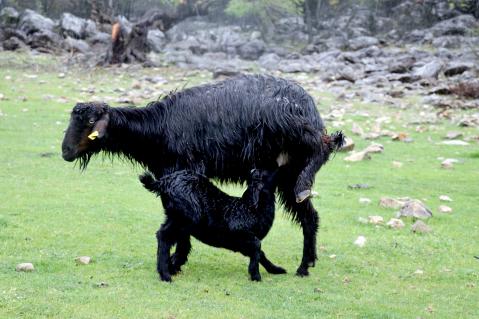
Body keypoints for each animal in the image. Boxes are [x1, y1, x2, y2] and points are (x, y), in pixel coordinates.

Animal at [141, 169, 286, 282]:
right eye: (265, 172)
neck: (251, 210)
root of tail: (162, 182)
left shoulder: (244, 244)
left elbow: (261, 253)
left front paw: (277, 269)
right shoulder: (243, 236)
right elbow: (257, 247)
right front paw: (256, 276)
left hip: (175, 218)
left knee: (170, 238)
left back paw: (170, 268)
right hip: (184, 218)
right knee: (164, 236)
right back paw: (166, 275)